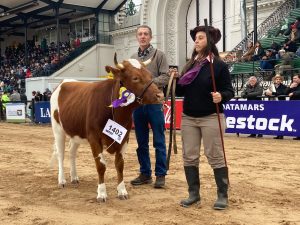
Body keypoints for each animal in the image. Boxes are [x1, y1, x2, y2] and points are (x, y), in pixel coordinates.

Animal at [50, 53, 163, 202]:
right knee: (61, 154)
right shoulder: (93, 138)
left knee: (72, 152)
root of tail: (65, 82)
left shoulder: (124, 137)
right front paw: (102, 193)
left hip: (76, 132)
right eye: (135, 78)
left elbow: (120, 165)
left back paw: (74, 177)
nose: (160, 95)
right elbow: (101, 165)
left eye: (150, 76)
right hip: (58, 129)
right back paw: (62, 180)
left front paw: (122, 191)